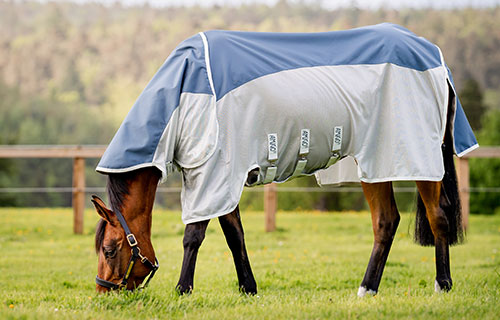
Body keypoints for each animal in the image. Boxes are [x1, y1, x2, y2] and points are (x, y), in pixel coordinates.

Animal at [93, 23, 476, 296]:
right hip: (376, 163)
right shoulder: (225, 178)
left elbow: (194, 235)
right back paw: (367, 289)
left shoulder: (213, 174)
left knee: (437, 216)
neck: (185, 93)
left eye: (110, 250)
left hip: (416, 157)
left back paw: (442, 285)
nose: (104, 293)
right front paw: (248, 289)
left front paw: (182, 290)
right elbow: (234, 235)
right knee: (386, 221)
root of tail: (435, 59)